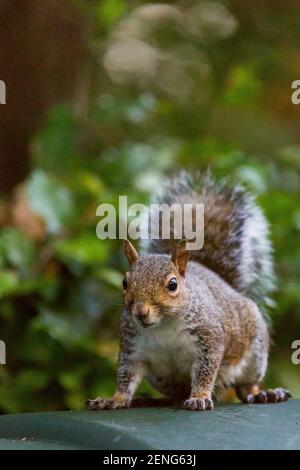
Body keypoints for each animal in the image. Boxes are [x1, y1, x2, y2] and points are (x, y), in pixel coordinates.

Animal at [86, 171, 290, 410]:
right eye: (125, 282)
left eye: (173, 284)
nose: (140, 312)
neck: (163, 326)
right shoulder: (132, 347)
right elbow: (126, 377)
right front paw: (114, 399)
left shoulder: (209, 338)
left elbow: (206, 372)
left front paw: (200, 397)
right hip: (162, 378)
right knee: (174, 395)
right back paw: (150, 399)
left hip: (254, 354)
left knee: (246, 386)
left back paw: (264, 393)